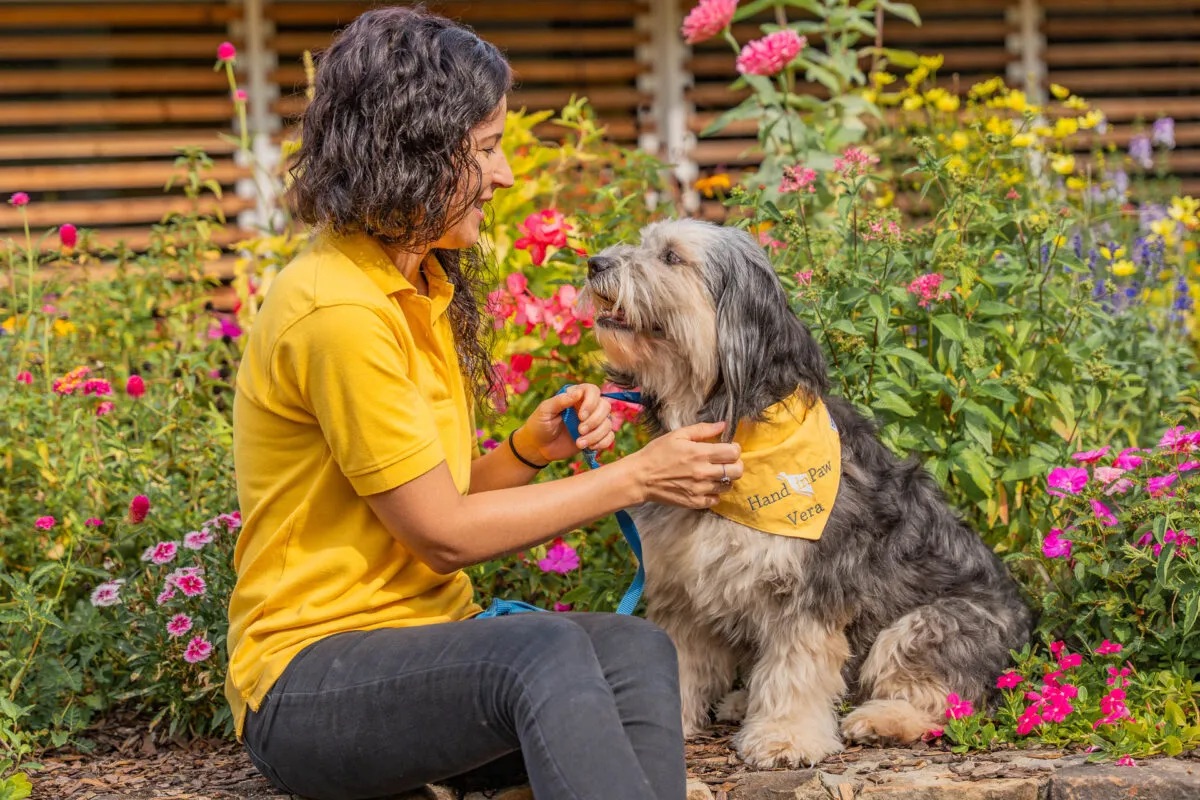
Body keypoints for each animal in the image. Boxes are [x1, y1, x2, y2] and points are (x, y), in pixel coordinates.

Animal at [580, 219, 1032, 767]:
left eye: (671, 257)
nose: (595, 262)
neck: (733, 427)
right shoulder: (683, 588)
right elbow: (683, 660)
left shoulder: (809, 588)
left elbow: (796, 668)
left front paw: (785, 736)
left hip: (932, 625)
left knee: (945, 704)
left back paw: (882, 720)